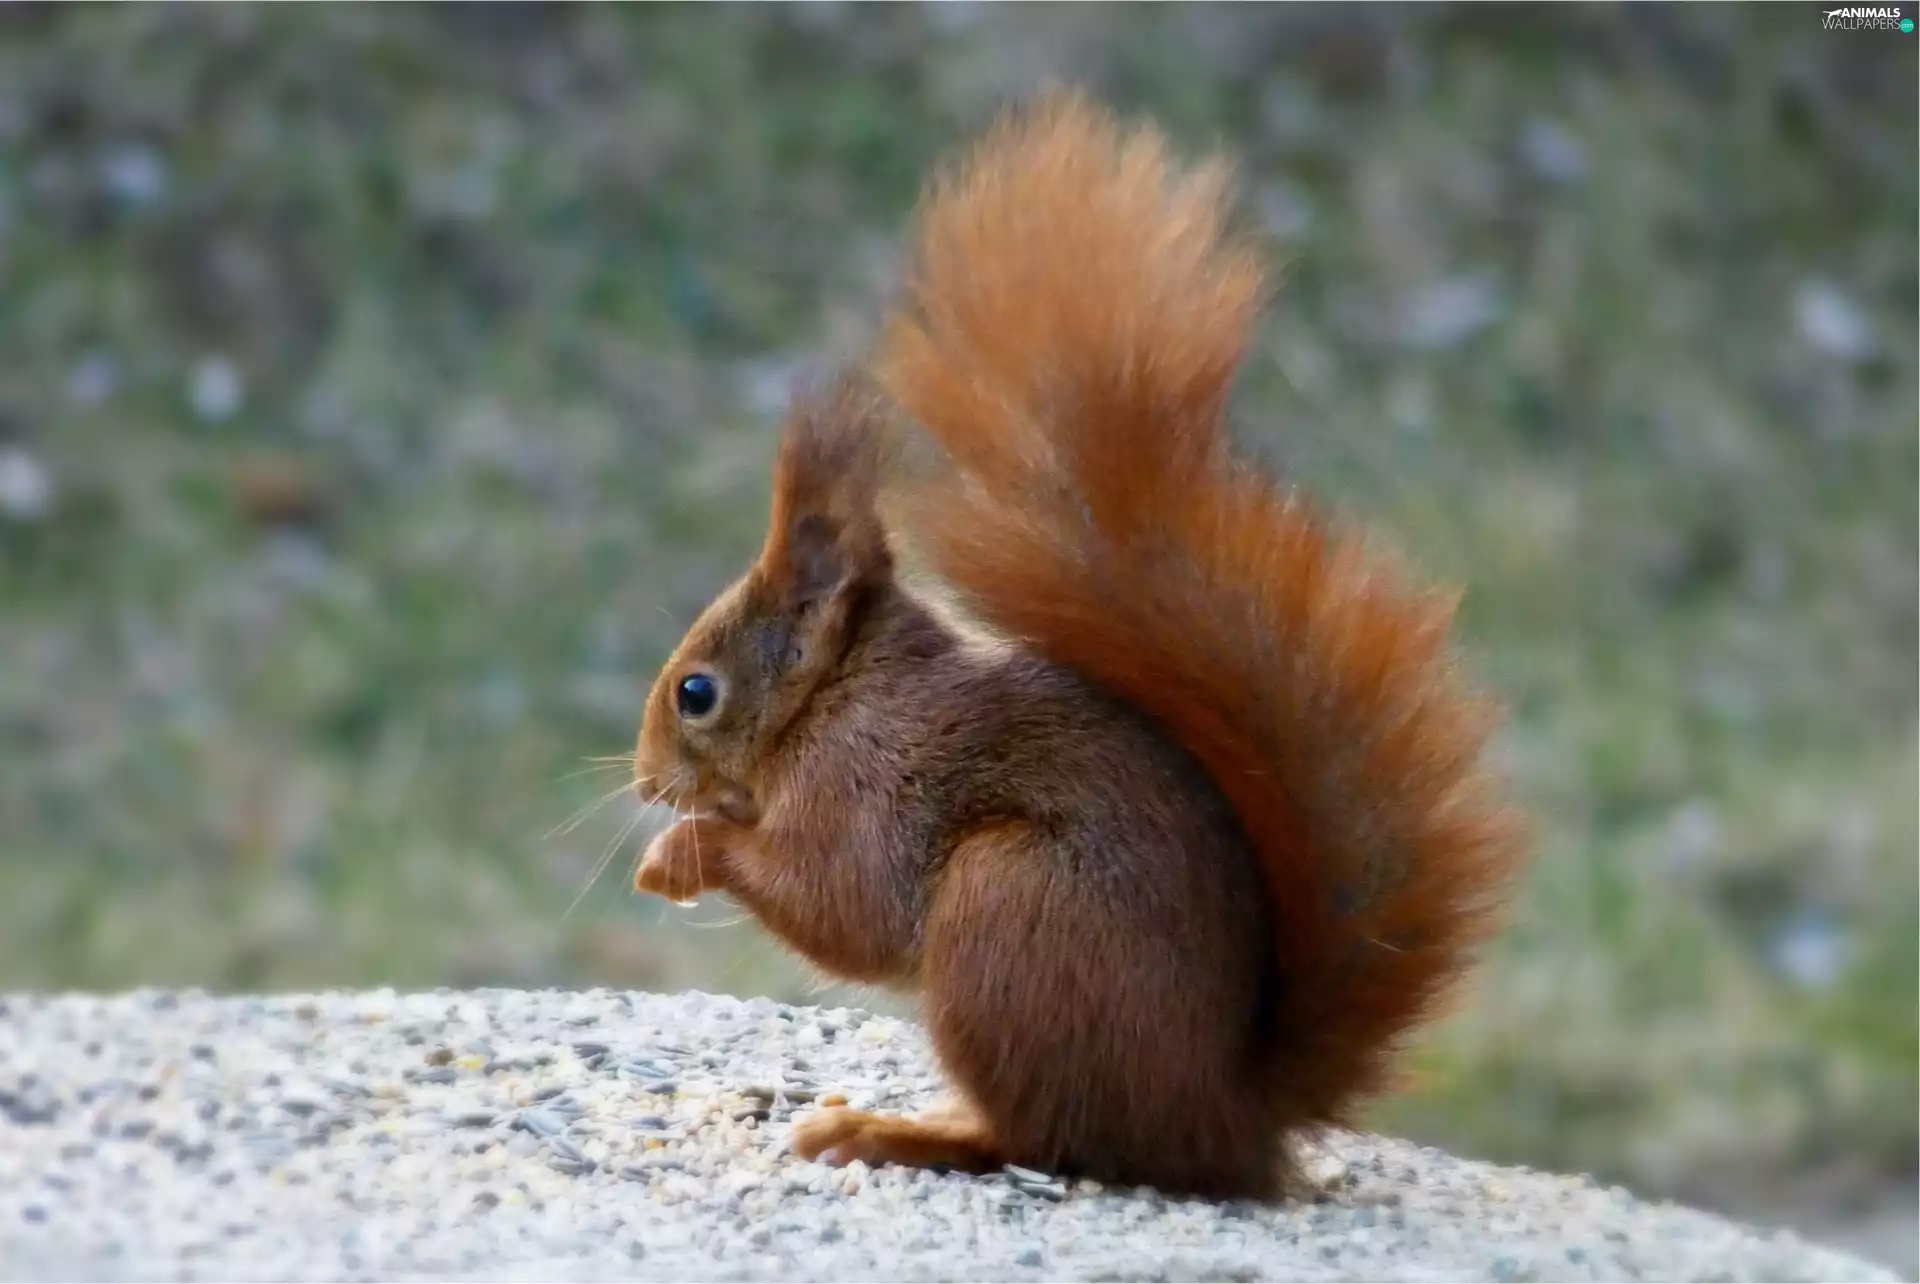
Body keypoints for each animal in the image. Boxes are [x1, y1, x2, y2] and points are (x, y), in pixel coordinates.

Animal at [630, 92, 1527, 1200]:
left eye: (695, 692)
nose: (645, 782)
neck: (835, 698)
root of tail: (1226, 1121)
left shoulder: (870, 788)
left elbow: (847, 907)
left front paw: (684, 850)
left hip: (1010, 911)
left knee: (1044, 1137)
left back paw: (899, 1132)